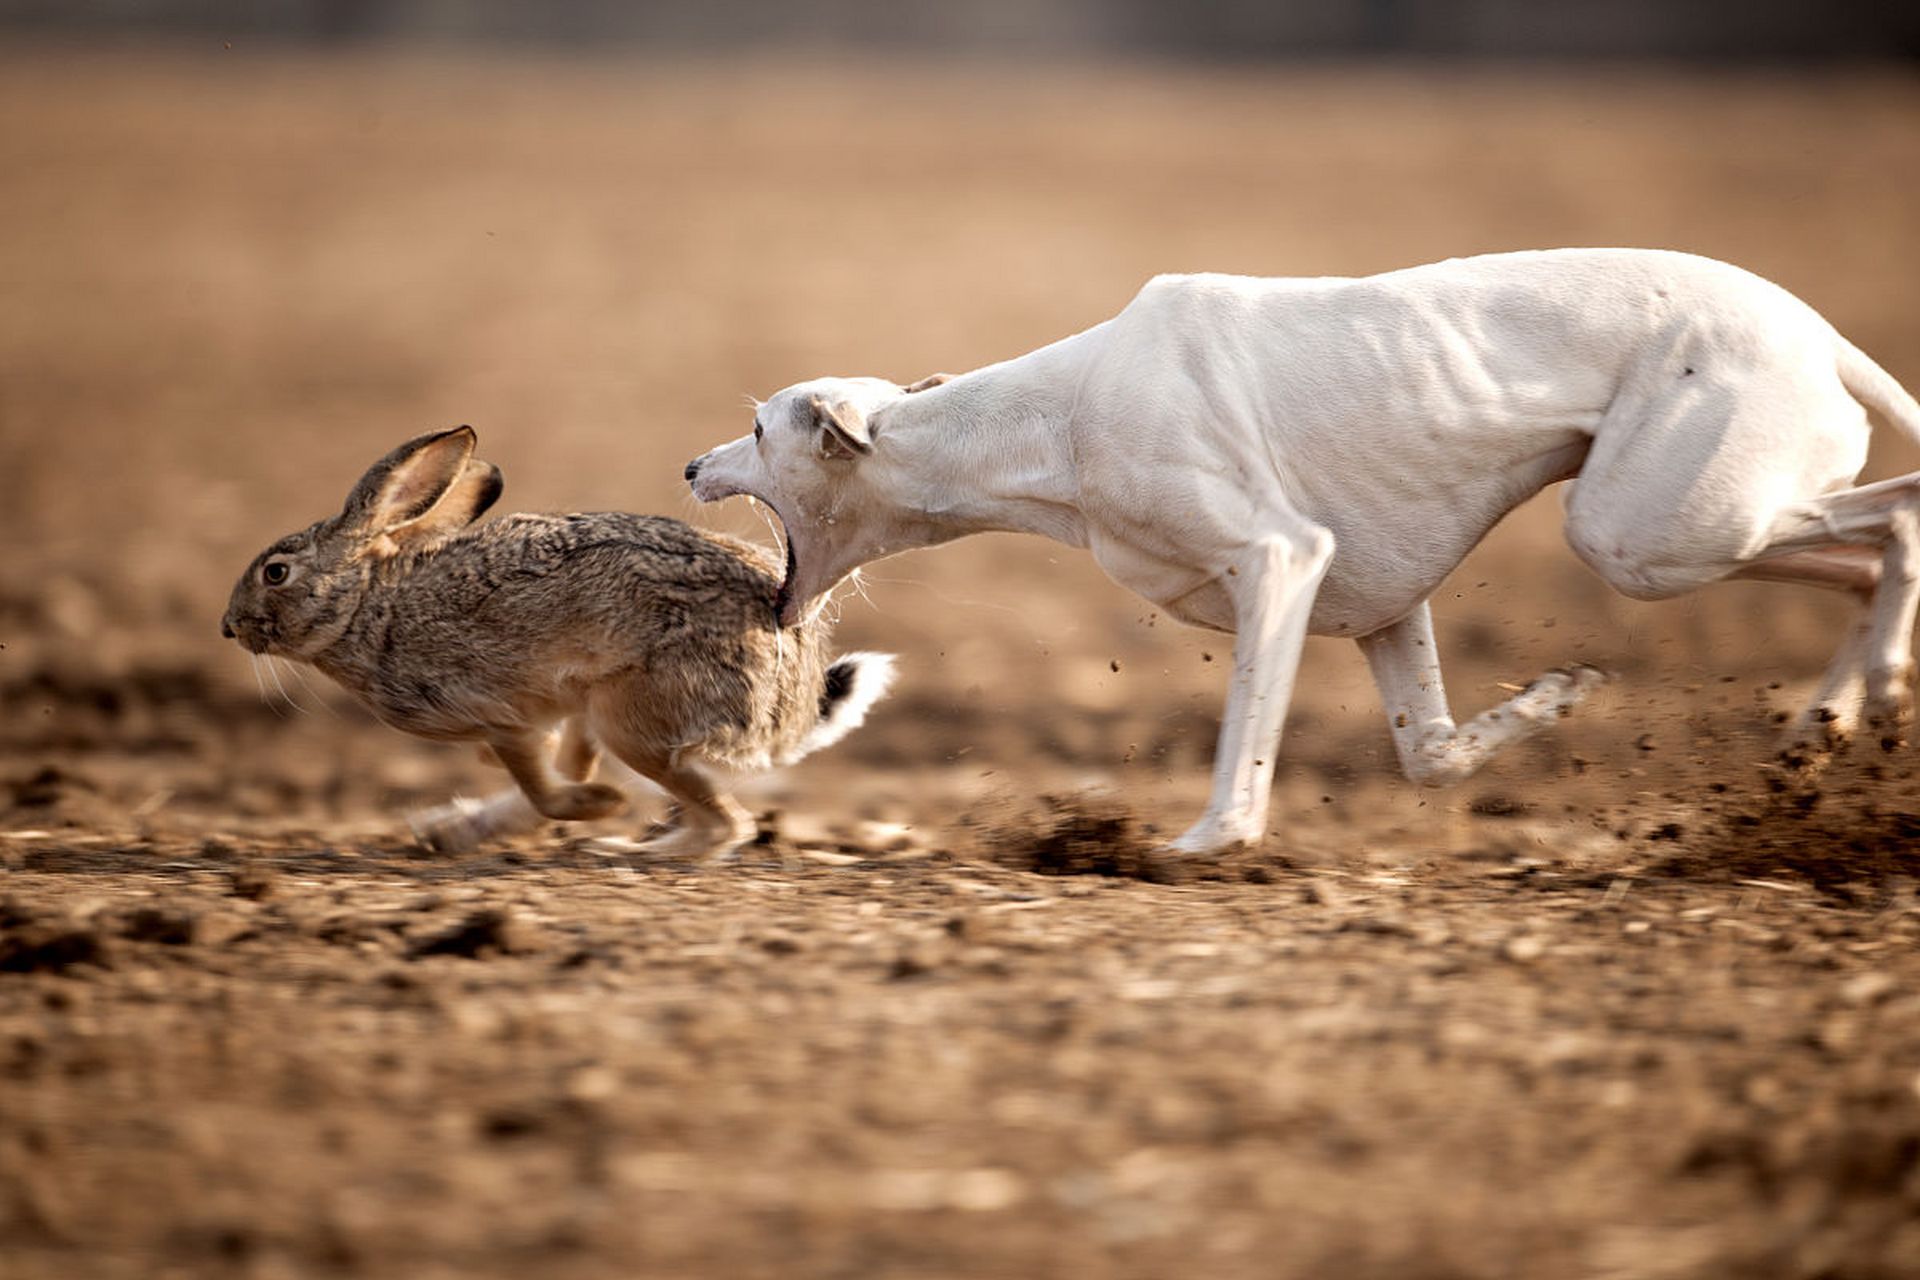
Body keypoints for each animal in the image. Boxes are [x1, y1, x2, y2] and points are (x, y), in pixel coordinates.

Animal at [687, 247, 1920, 855]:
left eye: (760, 430)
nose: (691, 466)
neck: (1055, 420)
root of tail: (1820, 333)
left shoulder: (1281, 561)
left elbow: (1246, 750)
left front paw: (1202, 843)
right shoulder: (1382, 610)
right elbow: (1433, 756)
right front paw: (1558, 696)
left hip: (1643, 533)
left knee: (1900, 519)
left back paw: (1871, 694)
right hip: (1701, 529)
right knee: (1867, 554)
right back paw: (1828, 727)